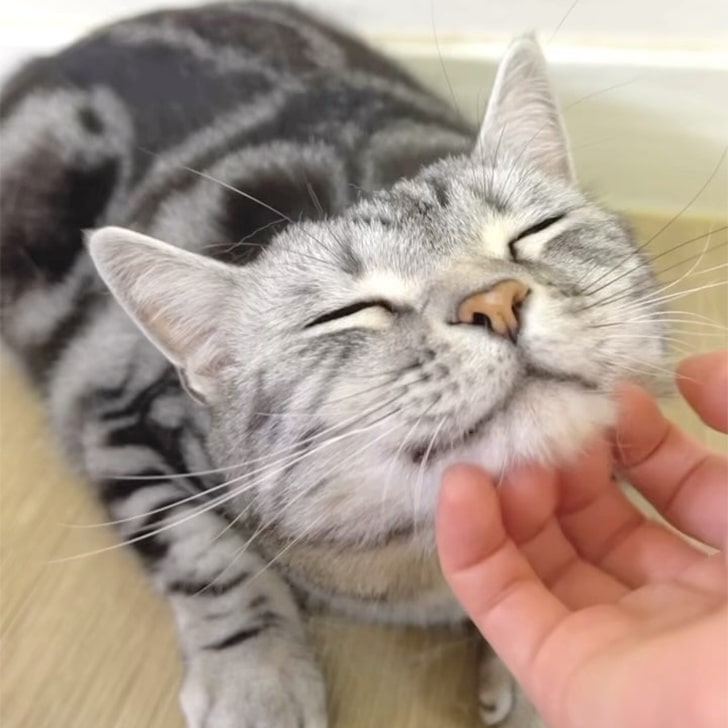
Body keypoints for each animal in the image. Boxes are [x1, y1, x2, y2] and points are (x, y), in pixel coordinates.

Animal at [0, 3, 664, 727]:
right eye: (351, 312)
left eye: (532, 233)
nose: (495, 301)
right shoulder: (121, 420)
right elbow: (204, 552)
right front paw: (258, 680)